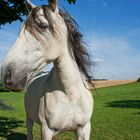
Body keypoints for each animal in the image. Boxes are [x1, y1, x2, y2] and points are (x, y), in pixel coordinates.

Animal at [1, 0, 93, 139]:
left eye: (42, 25)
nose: (7, 73)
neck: (70, 95)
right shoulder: (46, 131)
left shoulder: (84, 129)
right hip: (29, 119)